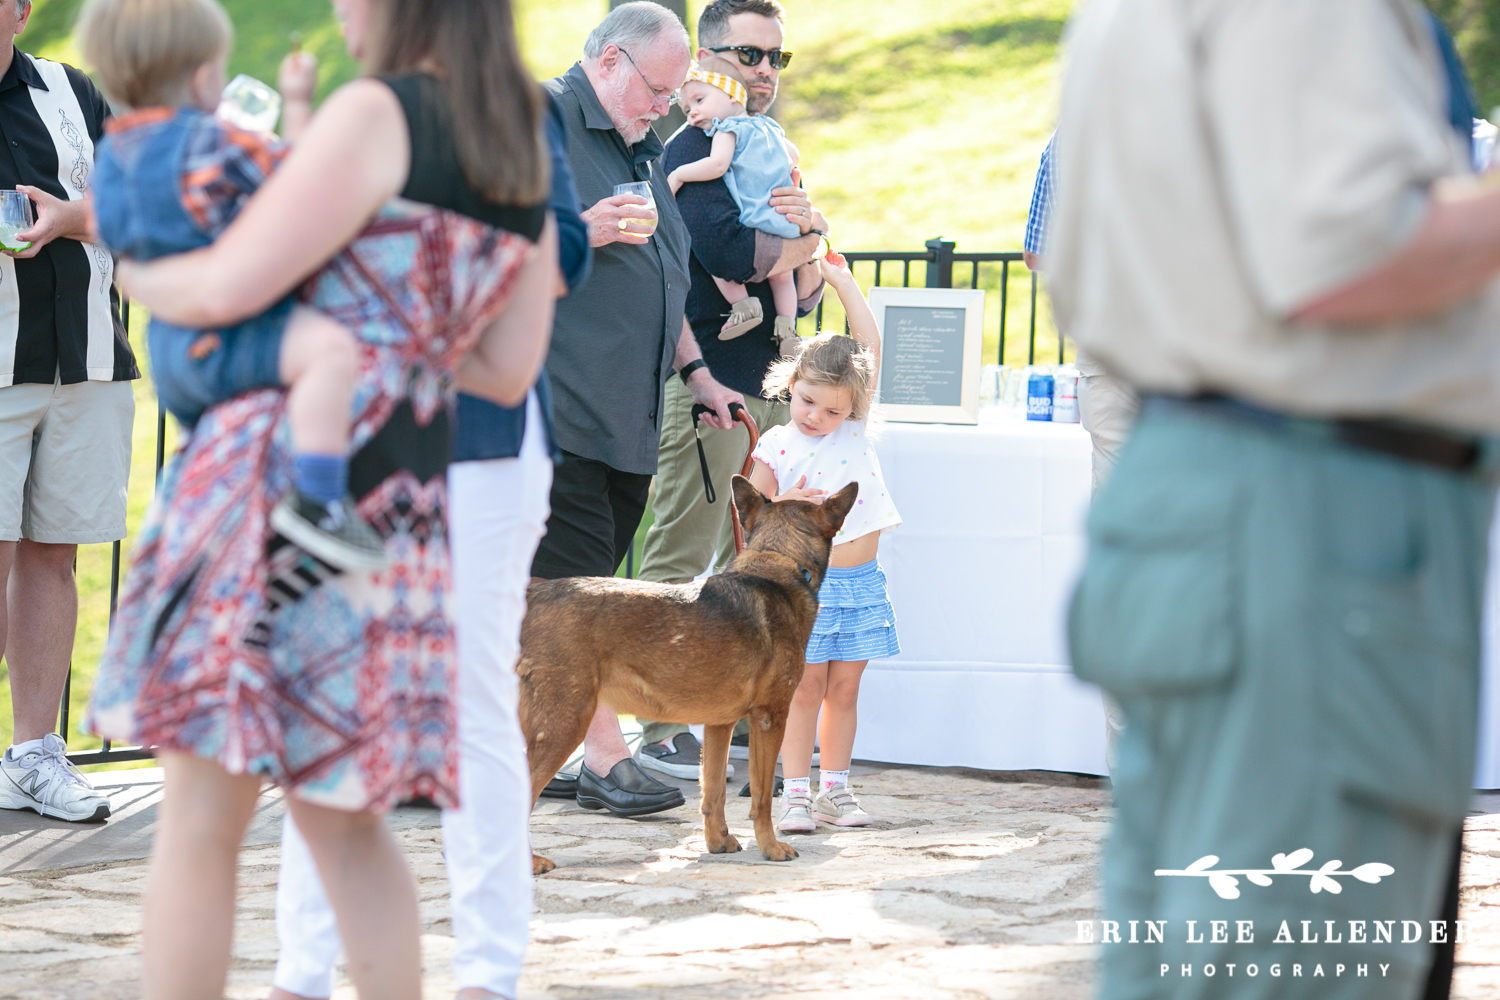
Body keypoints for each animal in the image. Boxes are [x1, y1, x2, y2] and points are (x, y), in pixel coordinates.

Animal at [522, 473, 864, 869]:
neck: (777, 564)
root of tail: (532, 598)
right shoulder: (770, 719)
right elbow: (762, 795)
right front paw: (771, 847)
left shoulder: (719, 726)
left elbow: (712, 791)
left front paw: (718, 842)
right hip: (564, 722)